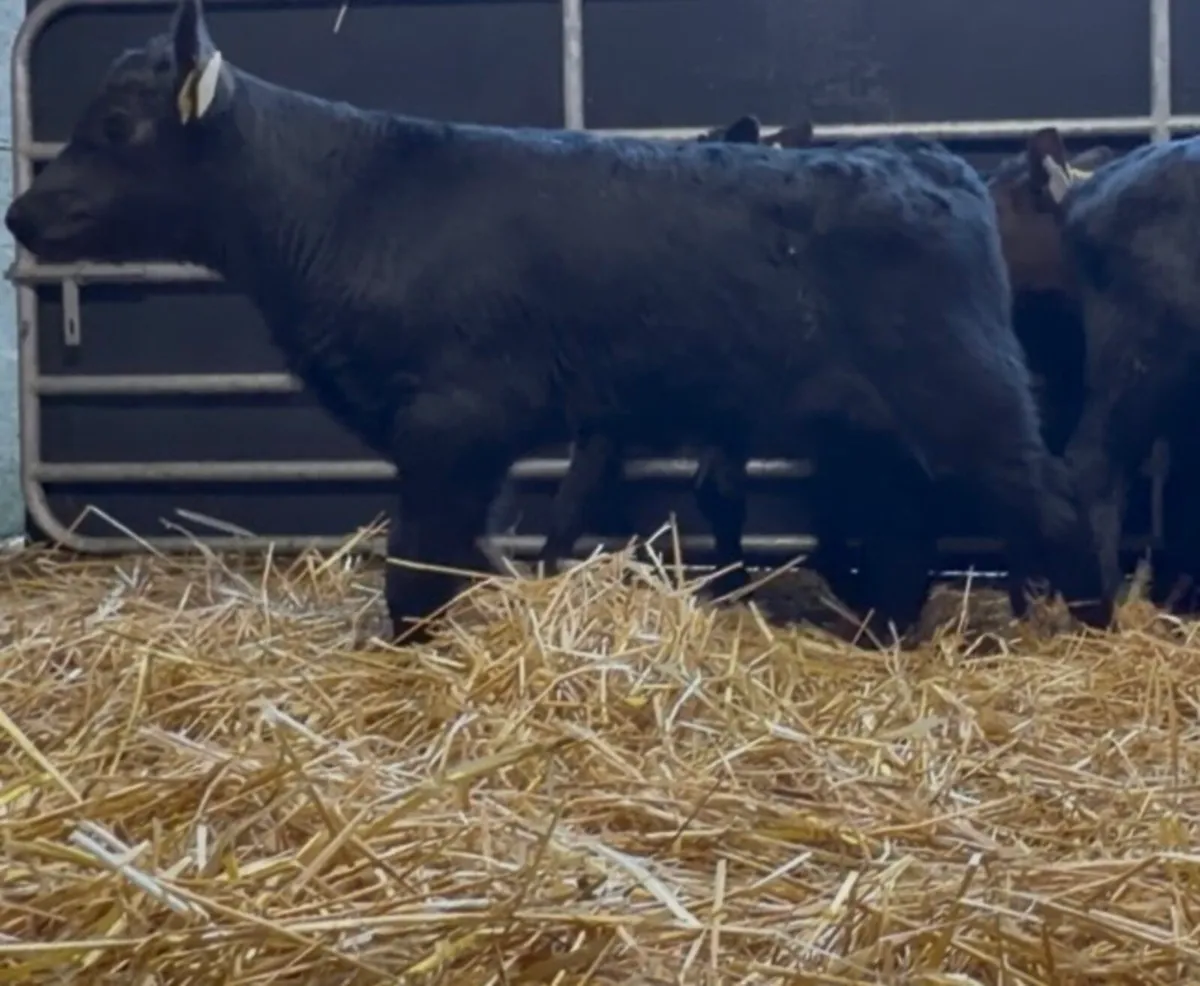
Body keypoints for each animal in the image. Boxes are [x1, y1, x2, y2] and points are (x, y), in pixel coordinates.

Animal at [4, 0, 1111, 643]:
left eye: (115, 127)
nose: (21, 213)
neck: (349, 200)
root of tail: (927, 160)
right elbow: (462, 551)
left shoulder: (454, 416)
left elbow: (417, 565)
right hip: (879, 424)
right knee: (903, 528)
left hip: (967, 397)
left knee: (1057, 498)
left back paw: (1094, 626)